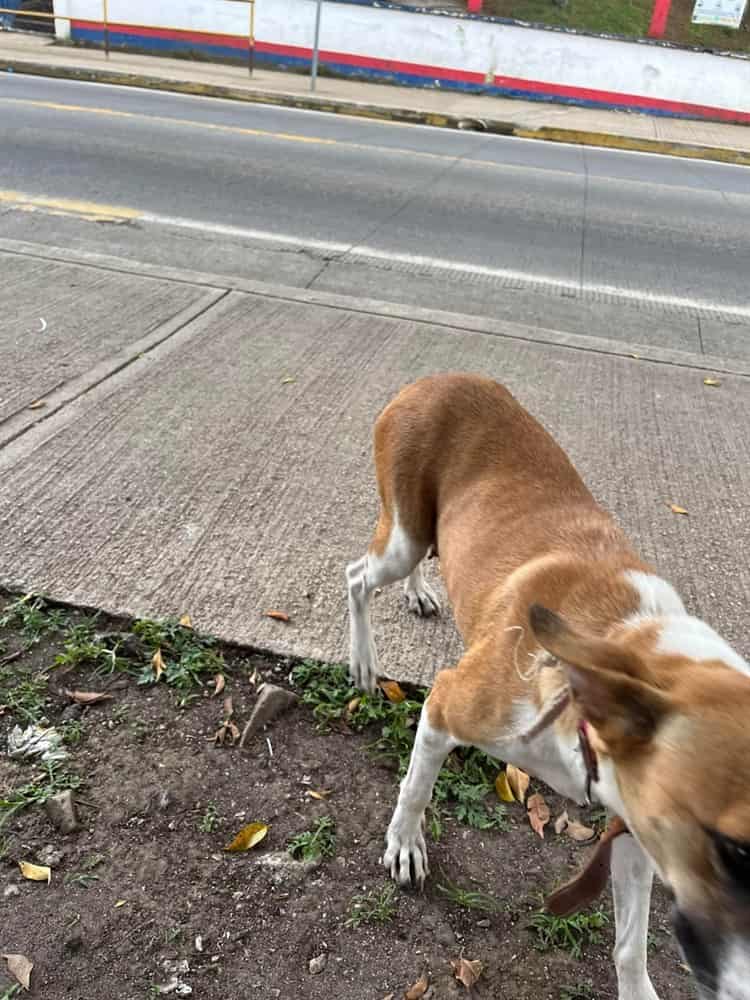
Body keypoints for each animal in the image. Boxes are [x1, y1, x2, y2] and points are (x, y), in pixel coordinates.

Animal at [348, 372, 750, 1000]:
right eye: (734, 851)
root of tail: (436, 377)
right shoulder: (445, 703)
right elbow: (414, 789)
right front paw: (405, 844)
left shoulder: (638, 832)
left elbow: (631, 945)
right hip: (403, 535)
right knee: (357, 577)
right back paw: (363, 661)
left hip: (424, 535)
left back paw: (417, 593)